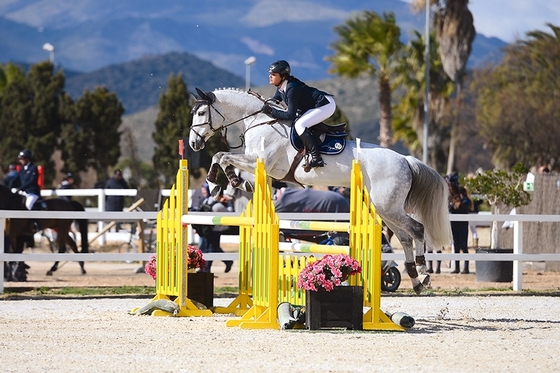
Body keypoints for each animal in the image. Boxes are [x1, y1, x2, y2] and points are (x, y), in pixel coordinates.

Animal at [188, 87, 450, 294]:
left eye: (201, 113)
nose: (193, 143)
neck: (260, 122)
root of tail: (405, 160)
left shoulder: (260, 162)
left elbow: (222, 156)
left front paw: (223, 183)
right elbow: (221, 156)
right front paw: (226, 184)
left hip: (388, 205)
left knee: (417, 229)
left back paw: (424, 273)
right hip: (385, 207)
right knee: (405, 237)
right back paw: (415, 280)